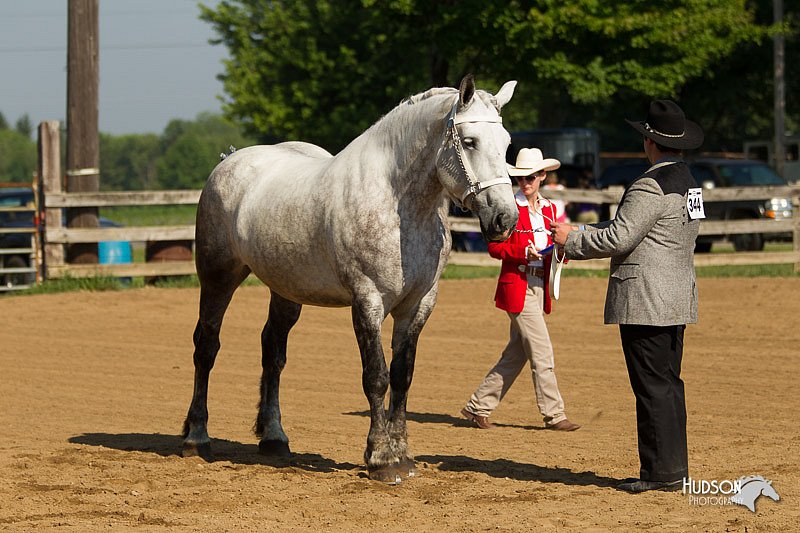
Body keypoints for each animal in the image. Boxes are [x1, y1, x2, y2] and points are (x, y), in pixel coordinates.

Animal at [181, 76, 520, 482]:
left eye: (507, 143)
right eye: (469, 141)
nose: (505, 218)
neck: (397, 205)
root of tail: (228, 161)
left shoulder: (418, 304)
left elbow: (402, 376)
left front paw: (403, 455)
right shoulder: (367, 301)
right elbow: (376, 376)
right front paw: (381, 459)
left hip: (285, 290)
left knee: (273, 352)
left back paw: (274, 438)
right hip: (218, 277)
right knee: (206, 347)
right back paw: (197, 439)